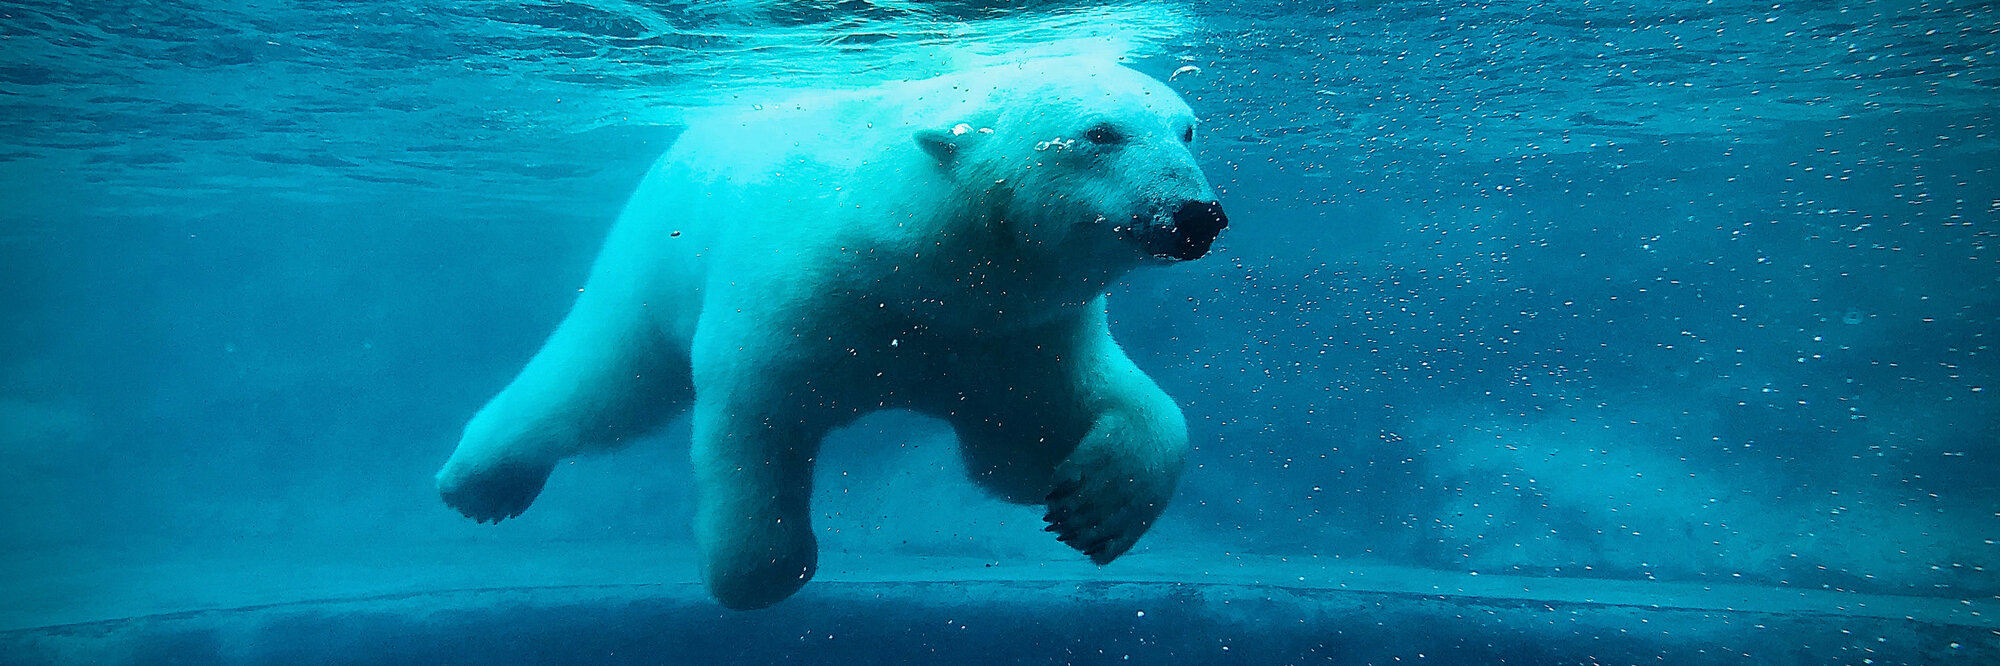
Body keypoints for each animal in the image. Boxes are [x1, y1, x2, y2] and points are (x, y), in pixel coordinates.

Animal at [436, 57, 1216, 608]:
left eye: (1186, 129)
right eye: (1100, 133)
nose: (1197, 215)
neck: (916, 264)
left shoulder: (1012, 334)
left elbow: (1038, 437)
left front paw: (1095, 503)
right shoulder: (800, 295)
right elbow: (754, 419)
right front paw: (758, 574)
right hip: (655, 253)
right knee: (604, 376)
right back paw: (480, 484)